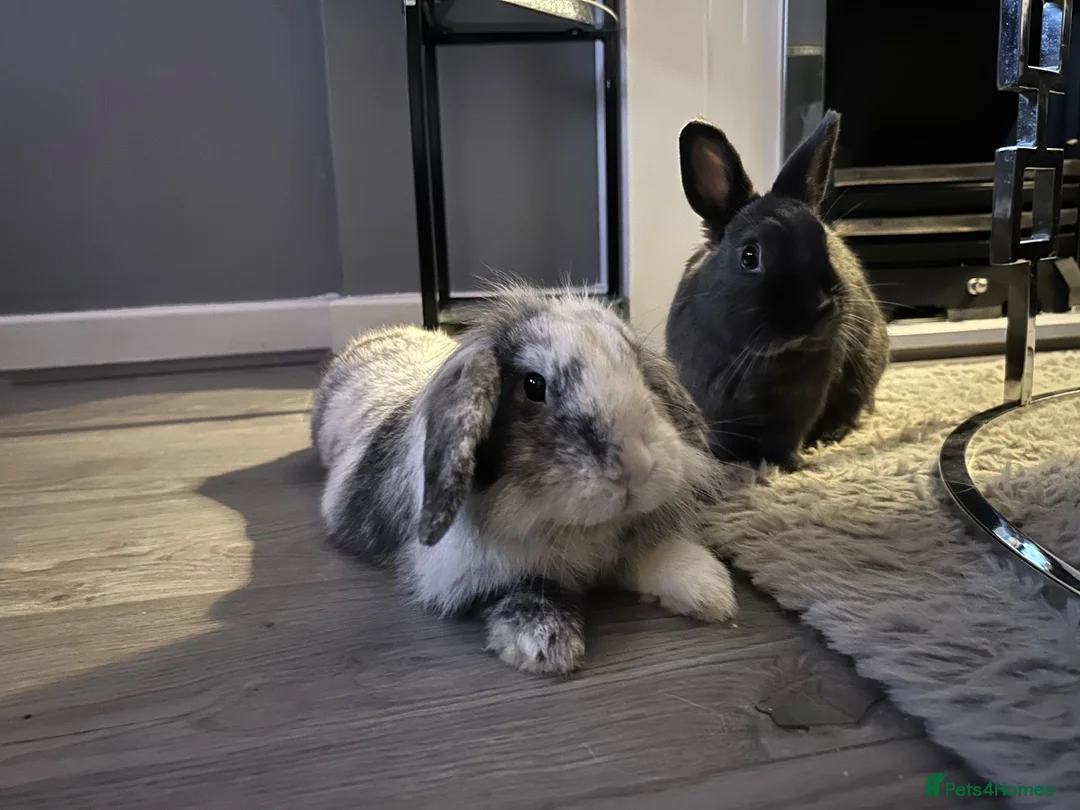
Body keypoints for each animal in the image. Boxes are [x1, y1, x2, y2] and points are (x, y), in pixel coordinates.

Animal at [310, 282, 737, 676]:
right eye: (533, 385)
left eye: (639, 370)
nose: (636, 467)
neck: (578, 530)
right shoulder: (466, 570)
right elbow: (522, 588)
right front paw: (545, 646)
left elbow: (646, 554)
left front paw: (710, 589)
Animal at [664, 110, 889, 471]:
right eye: (749, 256)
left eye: (824, 244)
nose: (817, 307)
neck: (760, 363)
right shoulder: (713, 408)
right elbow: (723, 440)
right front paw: (726, 465)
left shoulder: (799, 407)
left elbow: (784, 439)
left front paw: (785, 466)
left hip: (864, 368)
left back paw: (828, 437)